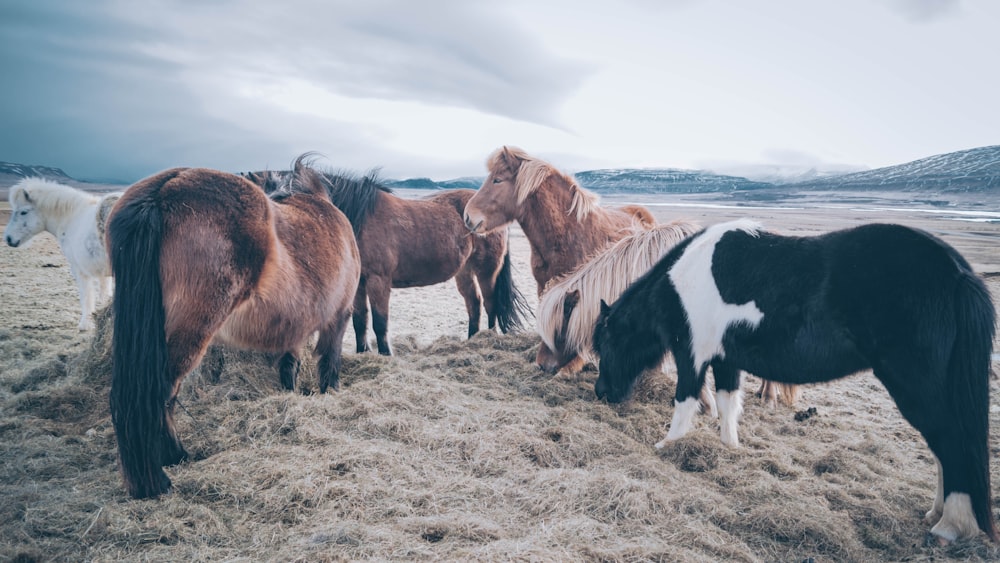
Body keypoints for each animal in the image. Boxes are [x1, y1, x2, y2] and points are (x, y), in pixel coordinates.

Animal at [3, 178, 123, 332]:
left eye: (23, 212)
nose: (8, 238)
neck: (71, 218)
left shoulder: (79, 270)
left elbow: (86, 296)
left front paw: (85, 325)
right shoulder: (103, 273)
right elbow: (105, 295)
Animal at [105, 153, 362, 498]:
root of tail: (161, 192)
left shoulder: (294, 326)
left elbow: (289, 366)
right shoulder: (339, 316)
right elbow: (329, 363)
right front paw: (329, 394)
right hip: (191, 332)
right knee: (158, 392)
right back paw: (161, 473)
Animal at [242, 169, 532, 356]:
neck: (358, 219)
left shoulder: (378, 282)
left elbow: (380, 321)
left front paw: (385, 354)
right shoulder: (359, 285)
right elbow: (360, 320)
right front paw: (362, 352)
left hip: (487, 270)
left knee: (491, 303)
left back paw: (485, 340)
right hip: (464, 272)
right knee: (474, 303)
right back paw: (471, 340)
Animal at [588, 219, 996, 540]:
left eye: (605, 343)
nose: (602, 392)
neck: (684, 279)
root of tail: (958, 272)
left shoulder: (693, 354)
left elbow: (685, 400)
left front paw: (668, 445)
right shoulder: (726, 359)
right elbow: (728, 402)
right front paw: (729, 448)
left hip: (916, 384)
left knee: (950, 440)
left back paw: (950, 526)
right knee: (943, 447)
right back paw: (935, 513)